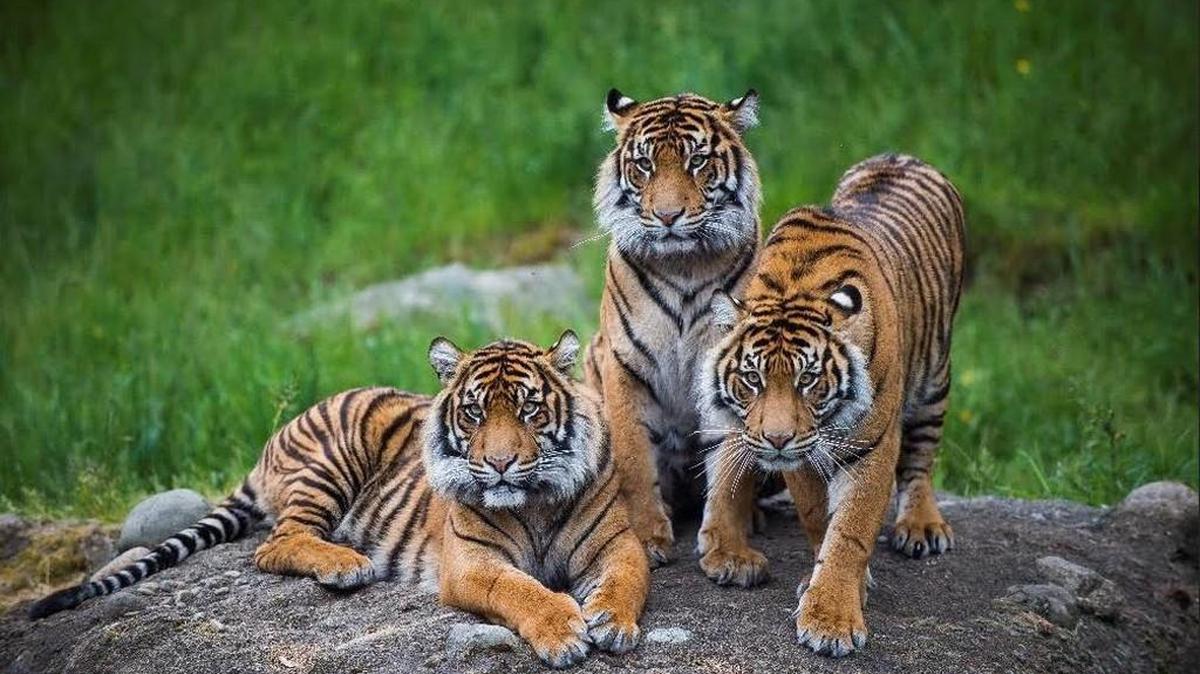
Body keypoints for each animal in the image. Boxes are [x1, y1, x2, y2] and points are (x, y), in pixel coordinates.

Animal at [29, 332, 649, 669]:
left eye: (528, 409)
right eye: (474, 412)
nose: (498, 463)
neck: (534, 502)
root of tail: (275, 437)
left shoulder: (617, 542)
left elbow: (628, 578)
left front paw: (612, 624)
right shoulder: (471, 562)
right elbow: (519, 589)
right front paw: (563, 632)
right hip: (333, 462)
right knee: (275, 543)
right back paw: (347, 564)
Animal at [585, 88, 763, 566]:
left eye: (697, 161)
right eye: (645, 164)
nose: (668, 216)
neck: (684, 263)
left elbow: (732, 471)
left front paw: (729, 550)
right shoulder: (623, 364)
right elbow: (632, 457)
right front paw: (646, 537)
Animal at [696, 154, 965, 656]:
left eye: (808, 380)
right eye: (753, 378)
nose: (776, 439)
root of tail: (900, 155)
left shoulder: (873, 447)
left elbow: (851, 532)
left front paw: (832, 619)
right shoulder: (801, 458)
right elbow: (819, 519)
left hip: (935, 375)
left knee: (921, 459)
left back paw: (921, 526)